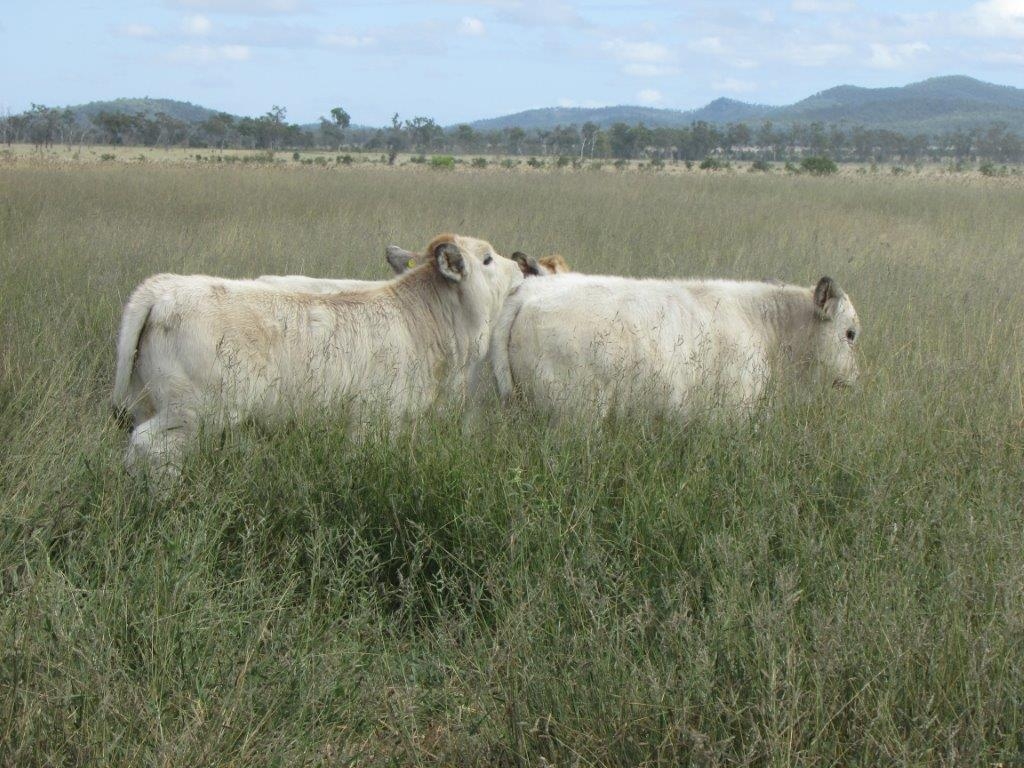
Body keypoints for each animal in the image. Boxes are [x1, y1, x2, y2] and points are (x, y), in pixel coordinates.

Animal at [113, 233, 524, 475]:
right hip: (191, 414)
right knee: (149, 448)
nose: (520, 267)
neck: (422, 320)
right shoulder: (371, 423)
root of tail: (163, 287)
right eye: (487, 259)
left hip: (149, 403)